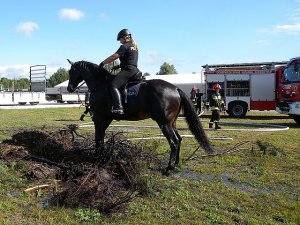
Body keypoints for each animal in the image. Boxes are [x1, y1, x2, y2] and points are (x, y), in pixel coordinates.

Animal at [67, 59, 213, 172]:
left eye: (71, 72)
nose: (69, 88)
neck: (100, 83)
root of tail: (175, 88)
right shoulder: (106, 119)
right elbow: (101, 138)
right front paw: (102, 157)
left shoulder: (98, 118)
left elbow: (98, 138)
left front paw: (96, 157)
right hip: (172, 123)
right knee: (179, 138)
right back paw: (176, 163)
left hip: (164, 123)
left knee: (174, 141)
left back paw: (169, 167)